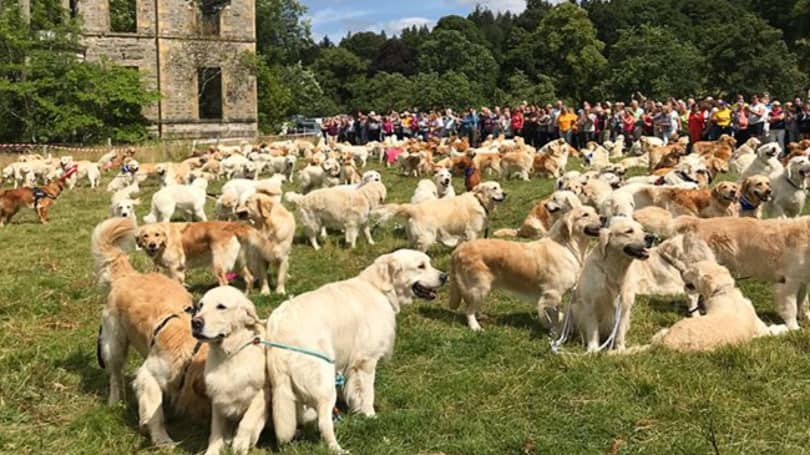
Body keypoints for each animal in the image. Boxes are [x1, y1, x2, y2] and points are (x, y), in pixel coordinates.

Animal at [266, 251, 442, 454]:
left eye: (429, 263)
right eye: (421, 266)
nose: (445, 276)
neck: (378, 289)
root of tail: (278, 329)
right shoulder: (366, 361)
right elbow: (368, 393)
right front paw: (371, 416)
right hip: (325, 381)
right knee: (323, 422)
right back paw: (337, 448)